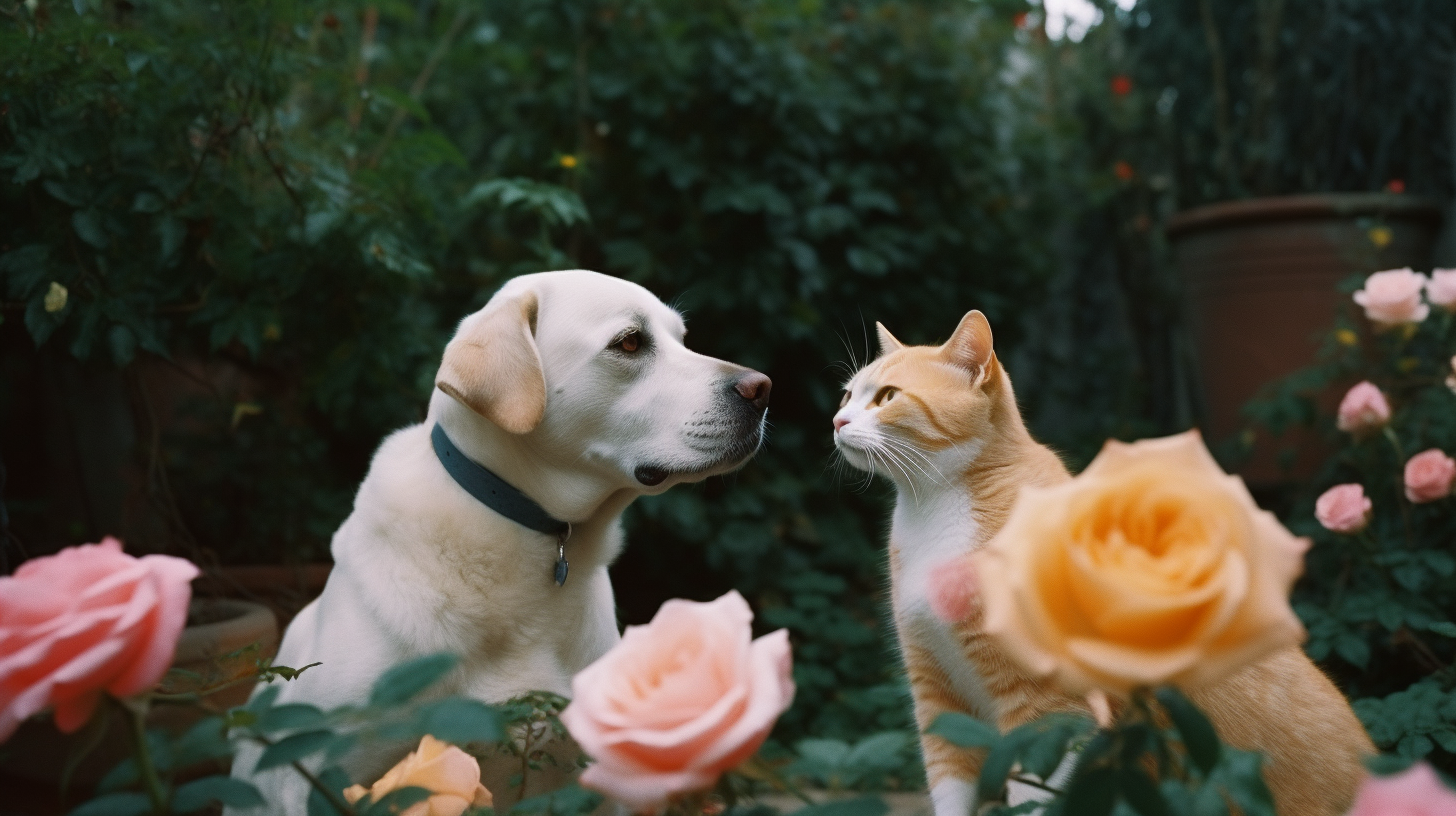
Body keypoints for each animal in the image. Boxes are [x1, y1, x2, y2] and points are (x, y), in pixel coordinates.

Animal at [832, 310, 1374, 816]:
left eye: (887, 397)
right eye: (847, 396)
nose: (836, 422)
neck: (933, 507)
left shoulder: (1049, 710)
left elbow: (1032, 795)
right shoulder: (938, 697)